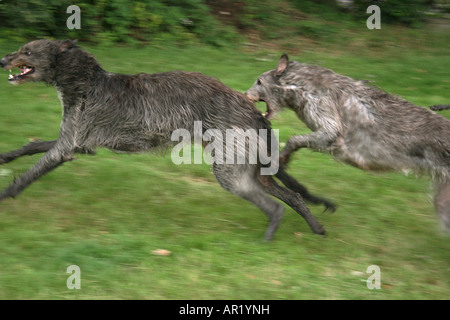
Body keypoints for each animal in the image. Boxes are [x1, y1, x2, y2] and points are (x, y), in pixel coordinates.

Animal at [0, 40, 336, 239]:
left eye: (28, 51)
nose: (3, 60)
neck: (85, 80)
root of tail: (255, 111)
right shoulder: (78, 142)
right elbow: (33, 145)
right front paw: (6, 156)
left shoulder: (66, 148)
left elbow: (29, 175)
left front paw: (5, 193)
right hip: (251, 167)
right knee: (292, 197)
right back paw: (316, 228)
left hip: (230, 172)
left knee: (274, 206)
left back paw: (266, 241)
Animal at [246, 53, 450, 231]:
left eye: (259, 81)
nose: (245, 94)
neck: (301, 85)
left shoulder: (330, 128)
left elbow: (295, 139)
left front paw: (282, 159)